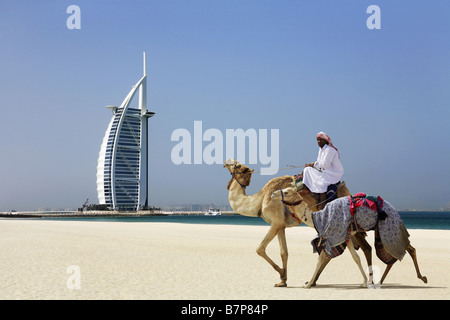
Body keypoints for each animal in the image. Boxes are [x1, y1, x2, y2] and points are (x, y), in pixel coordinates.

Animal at [223, 160, 370, 288]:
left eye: (238, 165)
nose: (226, 162)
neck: (260, 200)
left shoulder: (276, 222)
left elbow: (260, 248)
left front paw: (281, 273)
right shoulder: (281, 225)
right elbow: (284, 252)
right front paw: (282, 281)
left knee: (361, 247)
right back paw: (313, 282)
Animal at [274, 185, 428, 288]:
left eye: (286, 191)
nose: (273, 194)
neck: (318, 217)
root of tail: (395, 210)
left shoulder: (334, 235)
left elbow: (321, 258)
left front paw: (308, 284)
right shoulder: (345, 236)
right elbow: (356, 258)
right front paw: (364, 282)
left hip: (390, 229)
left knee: (408, 249)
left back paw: (422, 278)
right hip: (383, 232)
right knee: (393, 253)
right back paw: (380, 281)